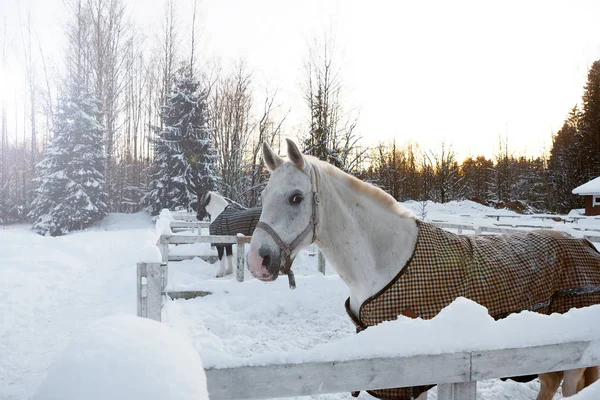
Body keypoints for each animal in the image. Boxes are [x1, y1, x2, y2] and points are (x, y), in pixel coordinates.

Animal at [246, 140, 600, 400]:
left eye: (296, 197)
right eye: (264, 195)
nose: (257, 262)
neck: (384, 263)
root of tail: (587, 245)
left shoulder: (410, 379)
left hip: (572, 363)